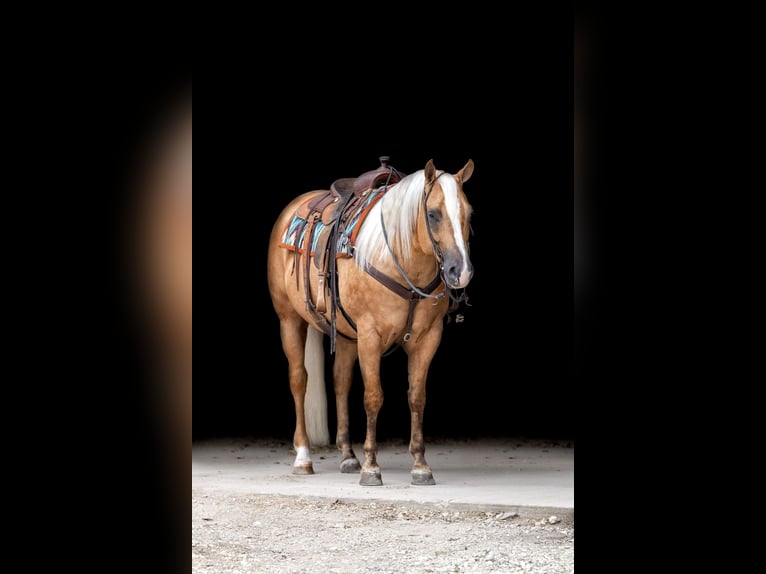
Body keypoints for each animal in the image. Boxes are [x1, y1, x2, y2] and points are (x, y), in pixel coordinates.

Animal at [268, 158, 474, 486]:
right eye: (433, 214)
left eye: (468, 213)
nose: (461, 271)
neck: (400, 261)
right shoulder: (370, 335)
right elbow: (373, 397)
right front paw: (371, 467)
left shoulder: (428, 338)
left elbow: (417, 397)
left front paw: (420, 465)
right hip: (289, 320)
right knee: (299, 379)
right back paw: (303, 457)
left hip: (345, 334)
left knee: (340, 382)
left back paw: (347, 456)